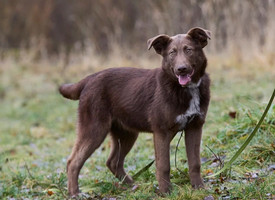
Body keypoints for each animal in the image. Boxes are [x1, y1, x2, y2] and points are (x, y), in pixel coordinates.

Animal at [59, 27, 211, 197]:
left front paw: (199, 188)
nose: (181, 69)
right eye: (172, 53)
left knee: (113, 162)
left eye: (189, 50)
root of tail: (89, 79)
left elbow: (195, 163)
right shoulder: (162, 131)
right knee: (73, 162)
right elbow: (163, 165)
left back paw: (132, 186)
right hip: (94, 129)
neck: (186, 89)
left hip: (126, 133)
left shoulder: (195, 127)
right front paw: (166, 193)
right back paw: (74, 193)